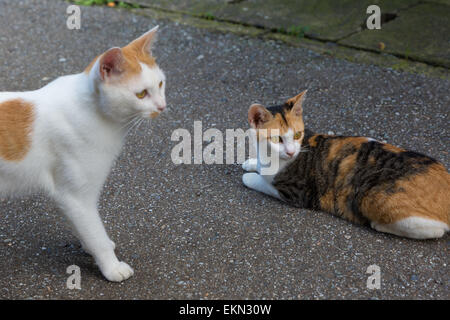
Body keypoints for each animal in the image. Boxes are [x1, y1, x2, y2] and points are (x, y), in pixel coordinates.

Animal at [0, 26, 165, 282]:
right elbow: (95, 232)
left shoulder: (73, 198)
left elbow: (87, 228)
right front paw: (112, 267)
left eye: (160, 84)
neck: (93, 112)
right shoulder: (76, 195)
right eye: (141, 94)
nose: (162, 107)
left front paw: (91, 247)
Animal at [243, 91, 450, 239]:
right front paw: (252, 163)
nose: (291, 152)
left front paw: (251, 175)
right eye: (276, 139)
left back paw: (379, 224)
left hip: (372, 199)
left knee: (435, 230)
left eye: (296, 135)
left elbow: (260, 181)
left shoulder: (297, 193)